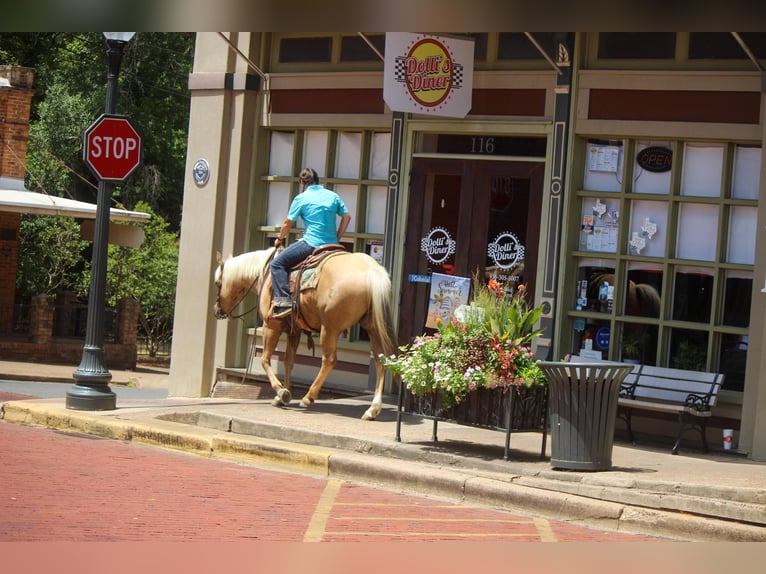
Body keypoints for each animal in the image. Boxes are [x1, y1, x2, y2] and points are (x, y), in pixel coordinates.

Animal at [213, 249, 400, 424]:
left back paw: (308, 397)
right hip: (373, 328)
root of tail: (372, 270)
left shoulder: (271, 325)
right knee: (381, 360)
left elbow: (265, 359)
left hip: (329, 329)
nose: (217, 311)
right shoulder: (294, 330)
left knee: (329, 360)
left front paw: (281, 391)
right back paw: (372, 409)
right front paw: (281, 395)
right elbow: (288, 362)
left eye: (217, 283)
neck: (265, 273)